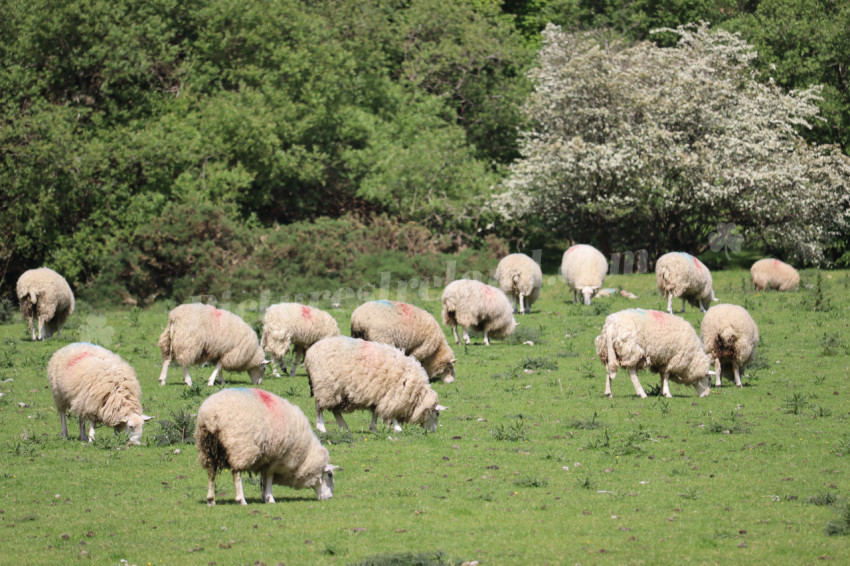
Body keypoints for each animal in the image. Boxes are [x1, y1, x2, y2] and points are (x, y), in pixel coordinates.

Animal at [195, 388, 337, 505]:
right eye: (329, 475)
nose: (330, 497)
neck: (304, 455)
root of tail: (210, 417)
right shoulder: (276, 458)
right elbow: (268, 477)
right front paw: (270, 498)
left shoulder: (267, 458)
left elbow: (263, 478)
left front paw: (264, 497)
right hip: (239, 447)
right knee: (236, 474)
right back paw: (241, 500)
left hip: (207, 448)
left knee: (211, 472)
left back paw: (211, 499)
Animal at [304, 336, 447, 433]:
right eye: (437, 414)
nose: (433, 431)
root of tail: (310, 352)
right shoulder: (393, 395)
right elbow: (390, 413)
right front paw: (397, 427)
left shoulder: (380, 394)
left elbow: (376, 412)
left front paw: (374, 428)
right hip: (325, 386)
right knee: (319, 408)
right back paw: (321, 427)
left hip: (339, 391)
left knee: (335, 410)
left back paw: (344, 426)